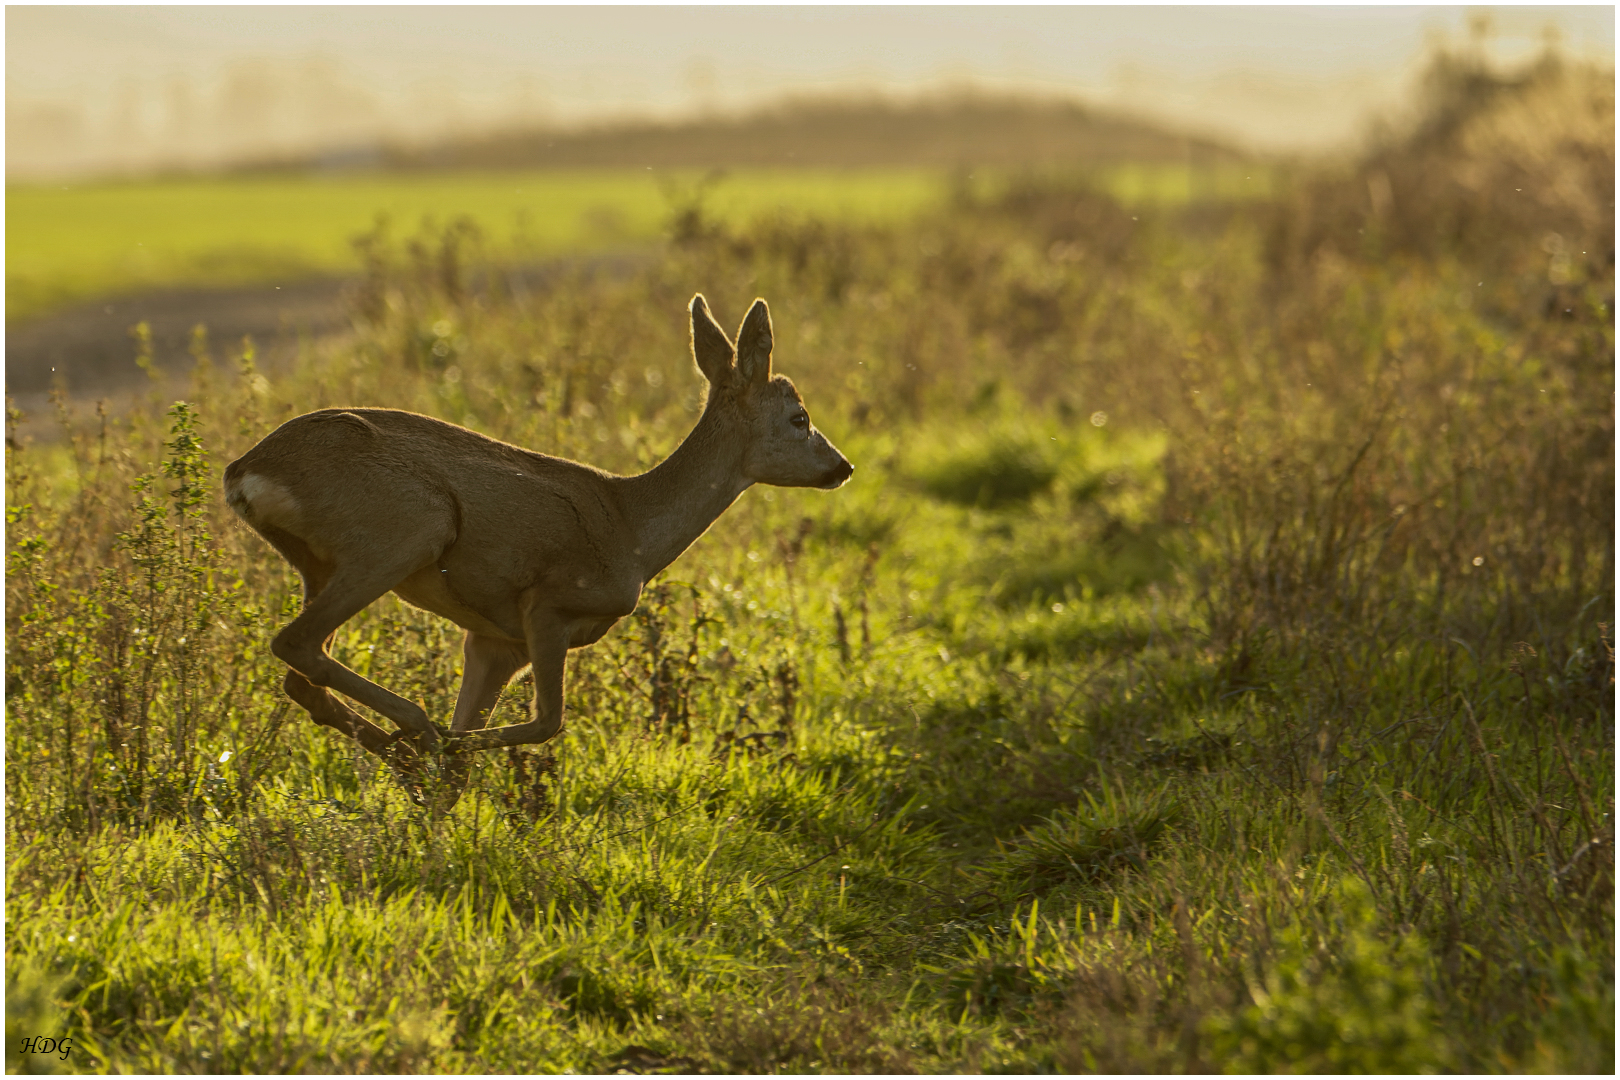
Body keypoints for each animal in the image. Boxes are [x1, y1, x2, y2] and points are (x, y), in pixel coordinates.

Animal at [230, 296, 861, 809]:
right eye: (800, 417)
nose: (843, 466)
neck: (630, 529)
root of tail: (245, 472)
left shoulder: (494, 640)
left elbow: (464, 773)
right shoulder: (547, 605)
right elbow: (547, 723)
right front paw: (442, 750)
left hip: (320, 562)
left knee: (301, 675)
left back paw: (410, 752)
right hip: (409, 526)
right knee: (297, 643)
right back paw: (418, 731)